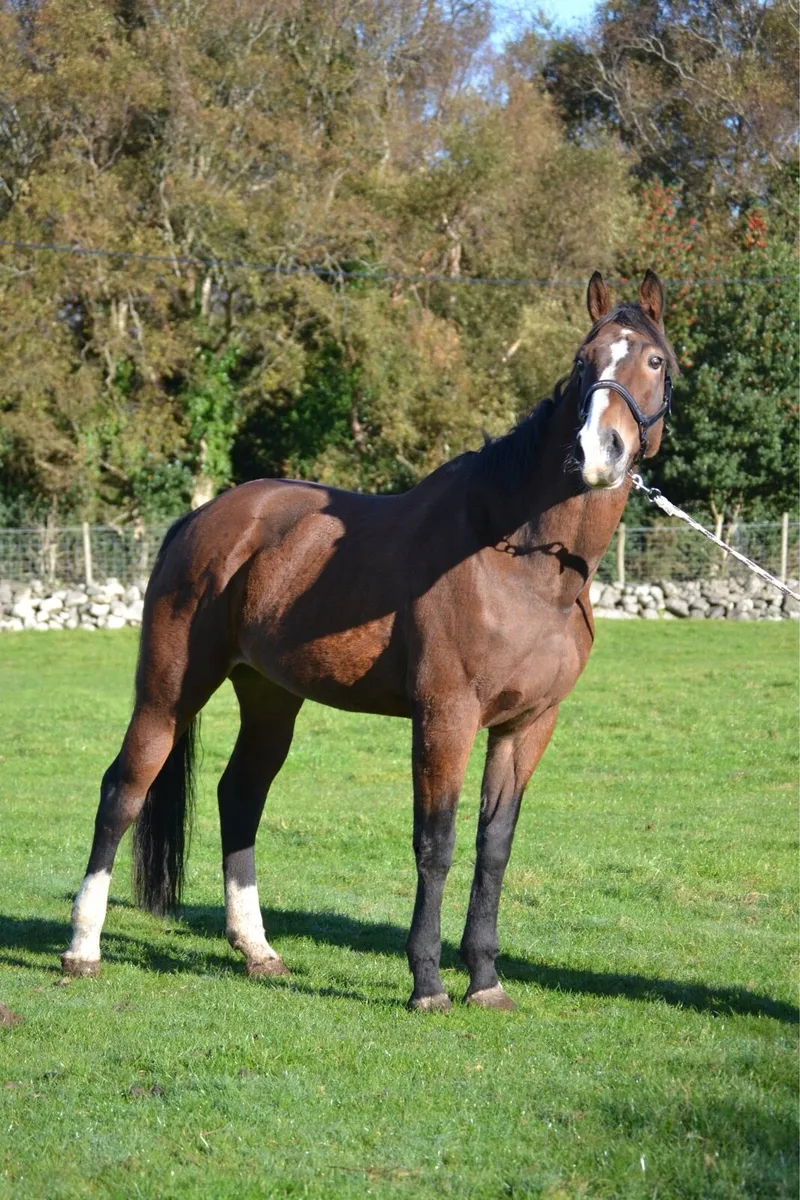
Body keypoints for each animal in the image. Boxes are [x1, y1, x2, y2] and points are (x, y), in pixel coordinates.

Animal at [62, 269, 676, 1011]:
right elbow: (436, 842)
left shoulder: (527, 726)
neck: (521, 560)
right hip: (169, 691)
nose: (597, 452)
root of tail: (203, 519)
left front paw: (486, 980)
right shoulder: (446, 718)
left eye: (655, 360)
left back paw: (258, 950)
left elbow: (494, 847)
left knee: (240, 795)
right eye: (582, 362)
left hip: (269, 697)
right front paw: (428, 984)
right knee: (122, 790)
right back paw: (82, 949)